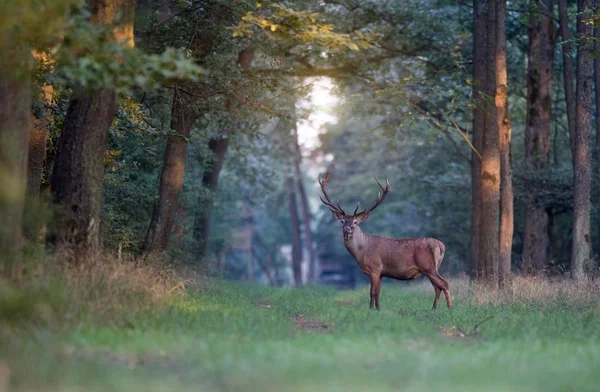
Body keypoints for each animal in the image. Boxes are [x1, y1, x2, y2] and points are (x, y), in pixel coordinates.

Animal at [318, 173, 450, 310]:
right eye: (342, 221)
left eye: (355, 222)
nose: (346, 229)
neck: (362, 251)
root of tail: (441, 245)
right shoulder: (381, 273)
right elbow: (378, 292)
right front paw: (378, 309)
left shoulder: (375, 268)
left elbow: (372, 292)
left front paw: (371, 309)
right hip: (433, 267)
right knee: (437, 287)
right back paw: (434, 309)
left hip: (428, 266)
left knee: (444, 283)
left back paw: (449, 307)